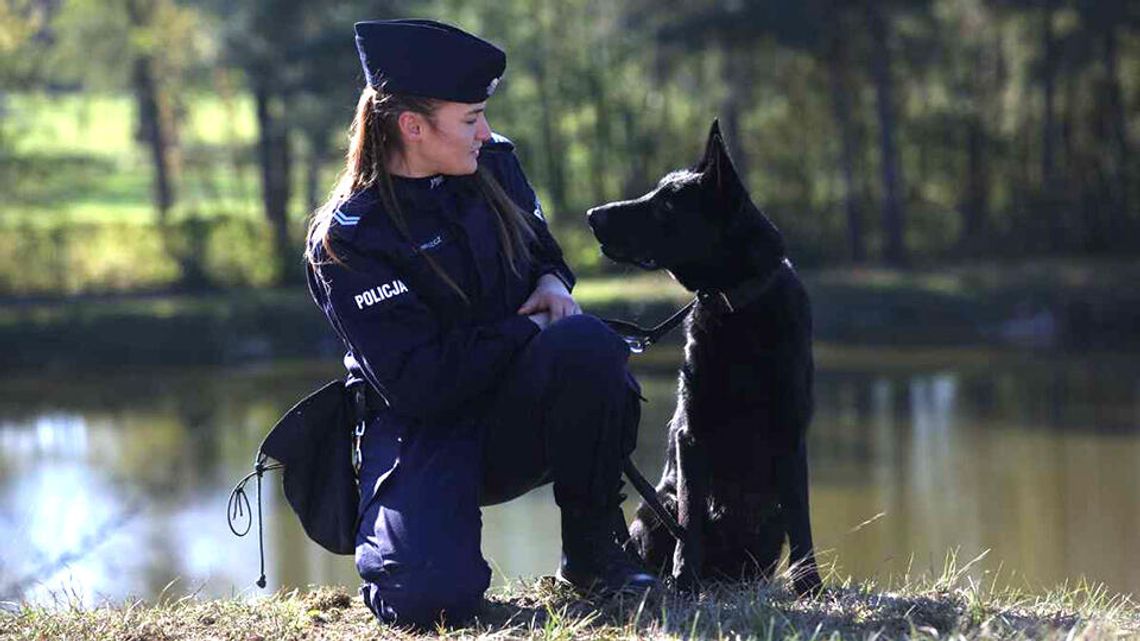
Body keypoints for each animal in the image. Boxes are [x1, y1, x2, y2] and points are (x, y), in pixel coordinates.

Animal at [588, 118, 820, 593]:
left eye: (665, 206)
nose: (591, 216)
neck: (735, 308)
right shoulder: (690, 433)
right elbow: (690, 514)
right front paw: (684, 577)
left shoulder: (791, 434)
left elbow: (802, 518)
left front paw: (810, 584)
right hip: (654, 506)